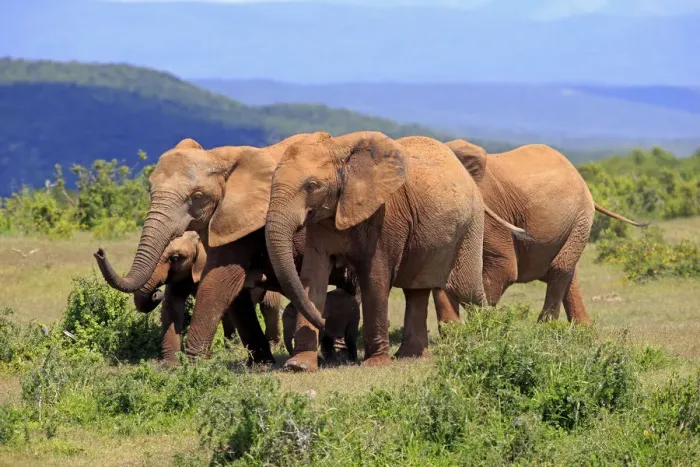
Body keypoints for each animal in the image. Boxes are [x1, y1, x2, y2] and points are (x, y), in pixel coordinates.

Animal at [127, 231, 284, 363]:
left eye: (175, 258)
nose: (156, 292)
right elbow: (172, 304)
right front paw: (170, 364)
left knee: (269, 306)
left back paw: (271, 345)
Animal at [265, 131, 528, 372]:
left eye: (312, 186)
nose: (325, 322)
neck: (341, 150)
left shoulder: (387, 215)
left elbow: (376, 277)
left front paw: (375, 364)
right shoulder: (322, 219)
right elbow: (313, 278)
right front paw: (299, 366)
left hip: (471, 225)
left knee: (466, 289)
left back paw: (489, 338)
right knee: (416, 289)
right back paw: (410, 356)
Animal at [435, 139, 647, 324]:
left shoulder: (490, 211)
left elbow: (503, 266)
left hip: (582, 217)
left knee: (560, 268)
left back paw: (546, 328)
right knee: (568, 272)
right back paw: (583, 330)